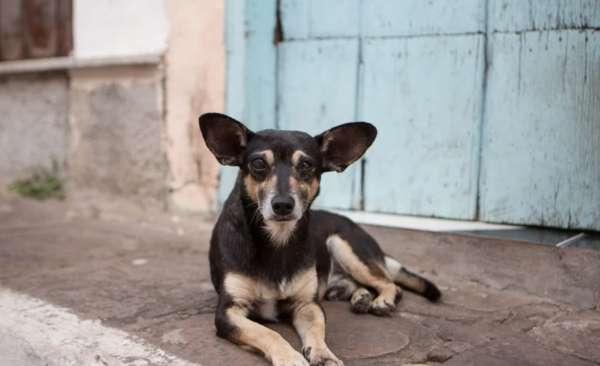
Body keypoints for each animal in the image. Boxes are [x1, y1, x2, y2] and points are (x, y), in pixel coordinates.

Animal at [200, 113, 440, 366]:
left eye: (306, 164)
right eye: (258, 163)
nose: (283, 204)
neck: (278, 240)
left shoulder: (308, 304)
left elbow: (317, 330)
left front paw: (325, 355)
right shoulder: (228, 311)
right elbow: (267, 332)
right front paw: (289, 357)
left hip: (344, 246)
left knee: (390, 283)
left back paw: (381, 300)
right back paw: (360, 296)